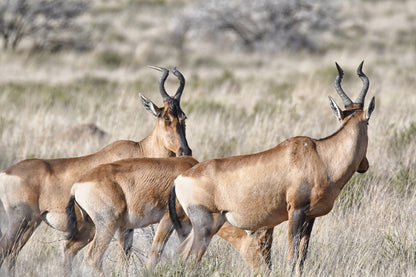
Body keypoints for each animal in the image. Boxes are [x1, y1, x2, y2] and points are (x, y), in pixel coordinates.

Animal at [0, 66, 192, 270]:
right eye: (166, 117)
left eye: (183, 117)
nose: (185, 150)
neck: (139, 149)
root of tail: (6, 172)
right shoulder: (123, 224)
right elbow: (123, 256)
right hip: (21, 221)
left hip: (33, 224)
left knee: (13, 255)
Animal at [168, 61, 374, 274]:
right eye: (368, 122)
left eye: (341, 119)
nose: (364, 166)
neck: (319, 155)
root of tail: (180, 179)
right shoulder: (296, 212)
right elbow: (291, 256)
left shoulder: (310, 217)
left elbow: (302, 257)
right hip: (205, 226)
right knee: (191, 259)